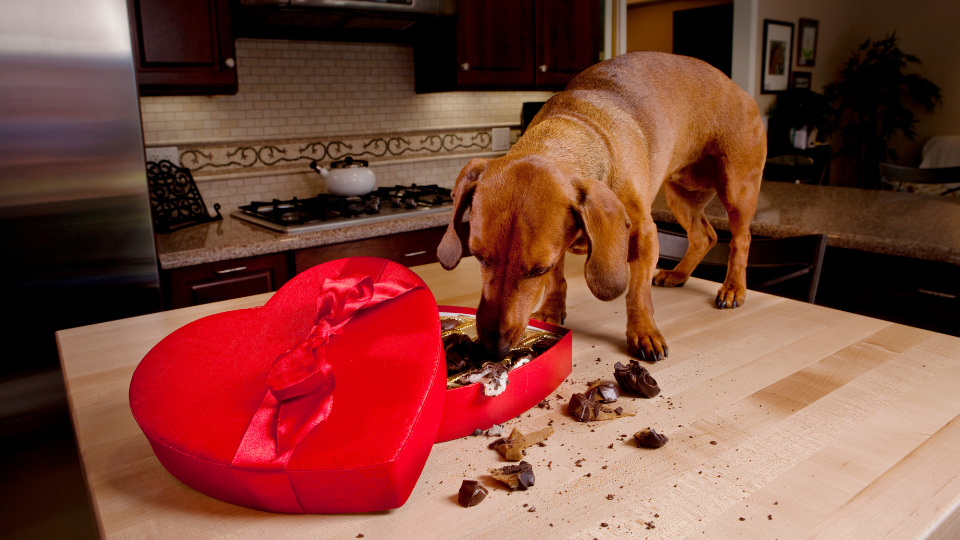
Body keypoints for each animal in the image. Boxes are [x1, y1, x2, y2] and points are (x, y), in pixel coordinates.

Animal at [436, 51, 764, 362]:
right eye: (478, 257)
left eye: (537, 269)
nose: (494, 350)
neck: (573, 128)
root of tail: (739, 89)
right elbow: (558, 281)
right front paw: (551, 310)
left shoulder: (644, 234)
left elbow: (637, 293)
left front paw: (644, 332)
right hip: (681, 195)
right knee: (704, 236)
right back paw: (678, 274)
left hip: (737, 190)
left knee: (741, 239)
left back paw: (733, 288)